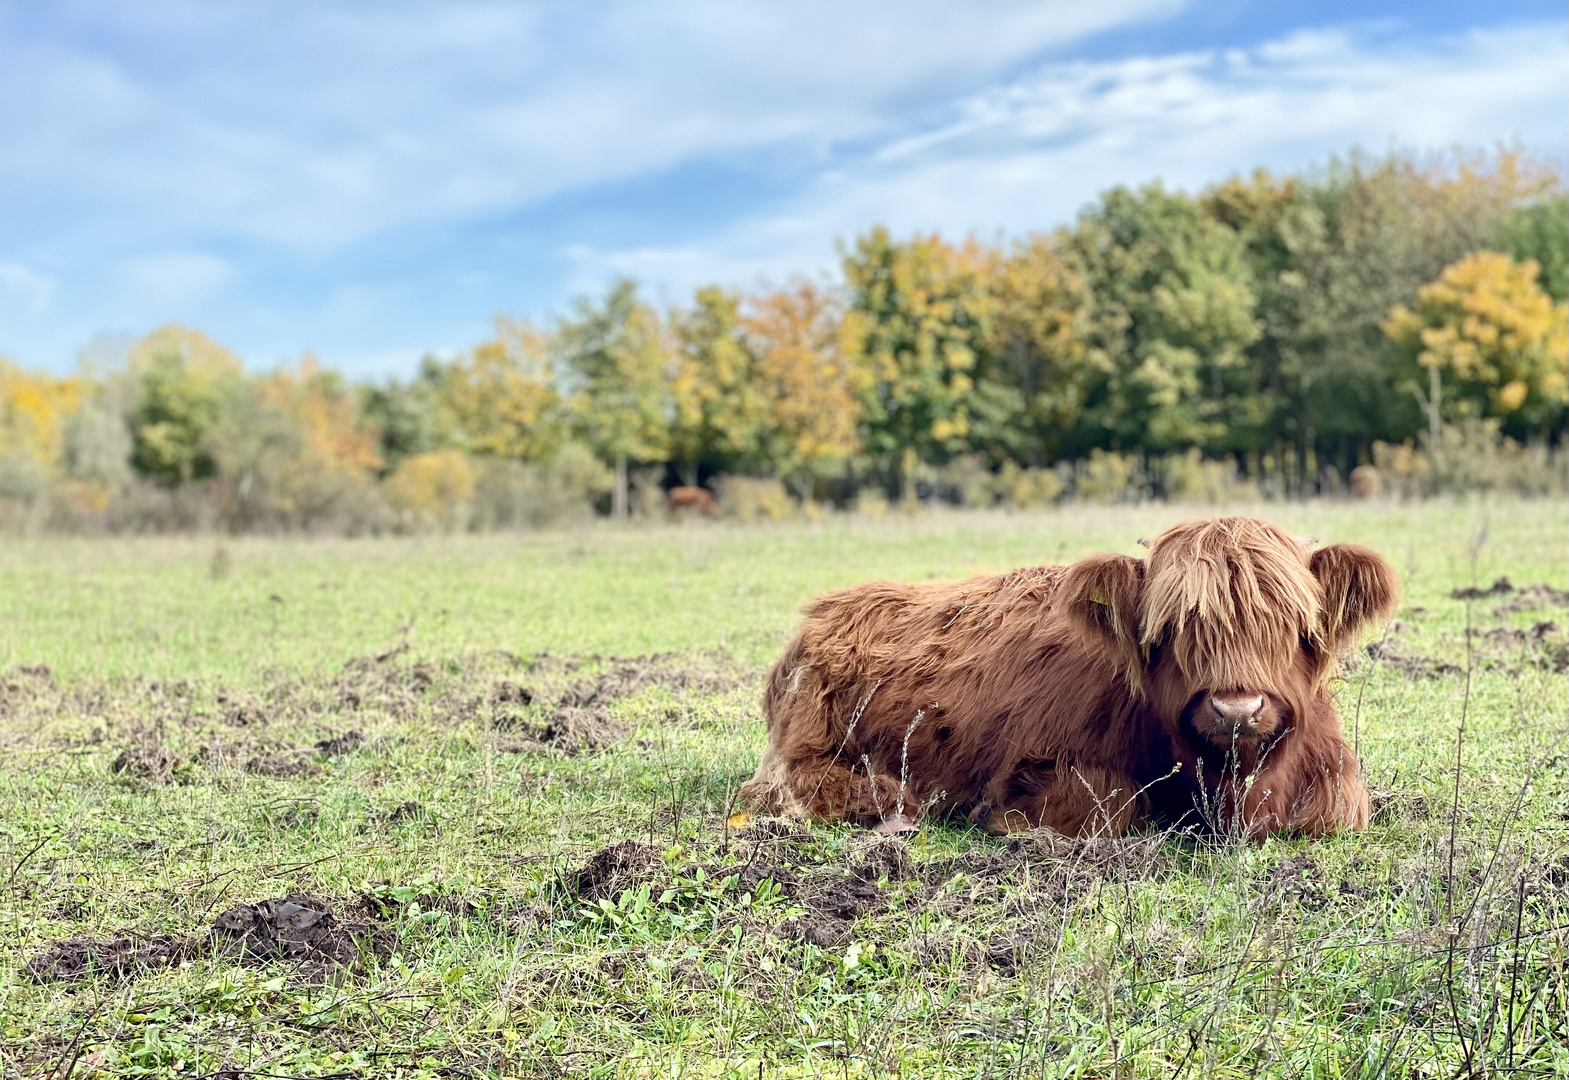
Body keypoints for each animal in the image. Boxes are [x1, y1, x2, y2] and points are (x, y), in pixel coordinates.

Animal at [740, 518, 1405, 841]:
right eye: (1170, 629)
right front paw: (995, 817)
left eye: (1293, 624)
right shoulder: (1038, 764)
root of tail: (826, 611)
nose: (1235, 709)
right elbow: (1114, 804)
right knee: (789, 787)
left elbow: (1340, 803)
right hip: (807, 744)